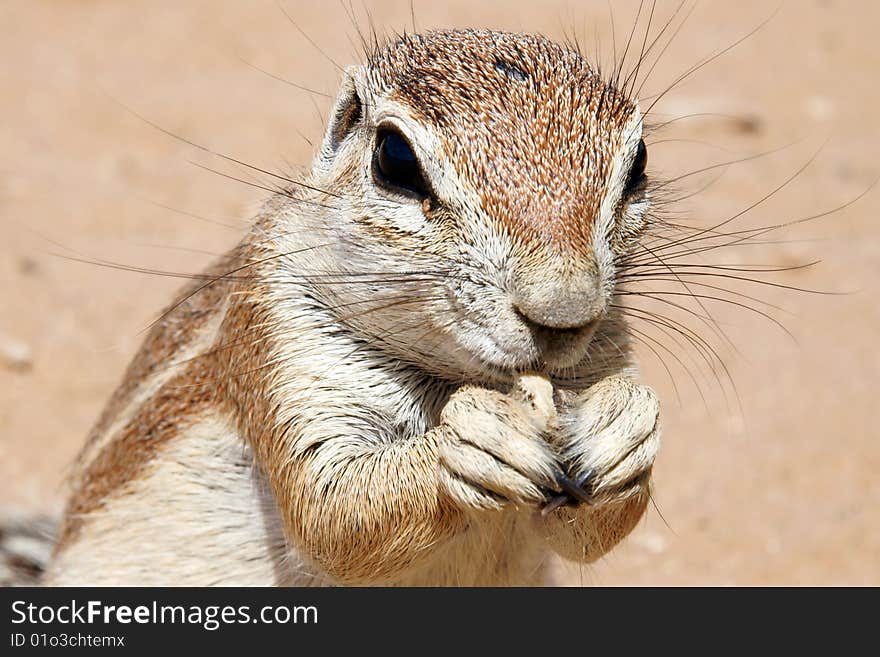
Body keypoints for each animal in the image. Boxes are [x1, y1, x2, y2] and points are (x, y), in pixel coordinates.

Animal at [39, 29, 660, 584]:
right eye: (396, 160)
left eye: (639, 164)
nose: (564, 313)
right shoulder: (282, 339)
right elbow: (331, 513)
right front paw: (471, 439)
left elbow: (593, 530)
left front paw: (624, 427)